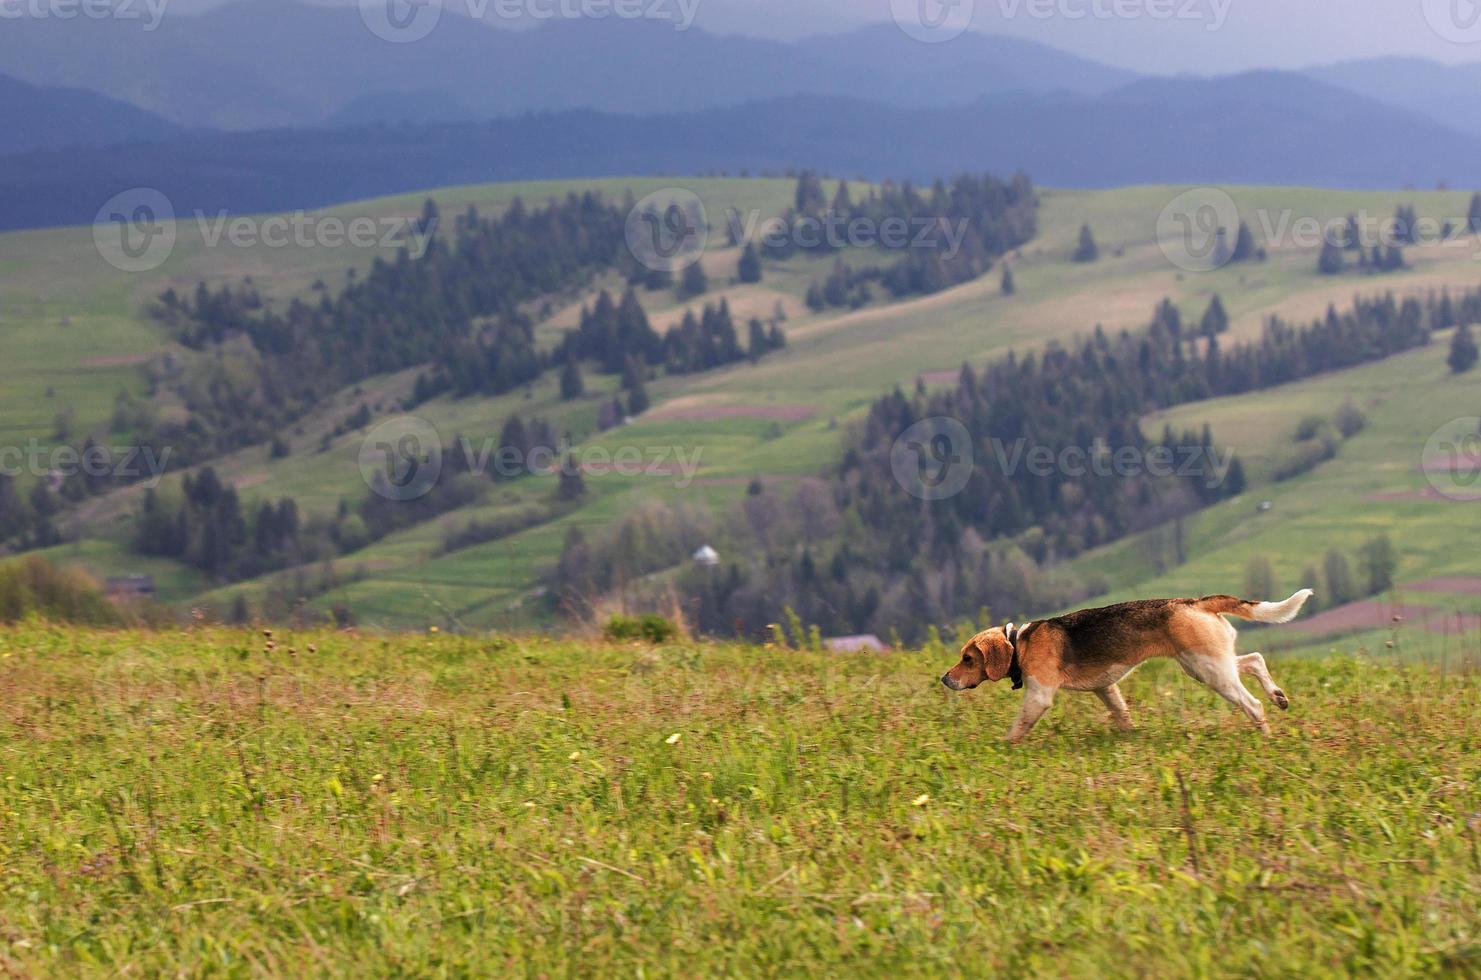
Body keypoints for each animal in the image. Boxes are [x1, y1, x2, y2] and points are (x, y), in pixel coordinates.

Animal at [941, 592, 1315, 746]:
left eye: (968, 659)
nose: (944, 679)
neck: (1019, 643)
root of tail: (1195, 602)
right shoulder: (1105, 688)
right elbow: (1121, 714)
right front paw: (1130, 738)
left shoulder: (1039, 696)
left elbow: (1018, 726)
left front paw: (1002, 747)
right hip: (1207, 663)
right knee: (1254, 660)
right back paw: (1278, 695)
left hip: (1211, 671)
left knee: (1252, 704)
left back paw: (1265, 734)